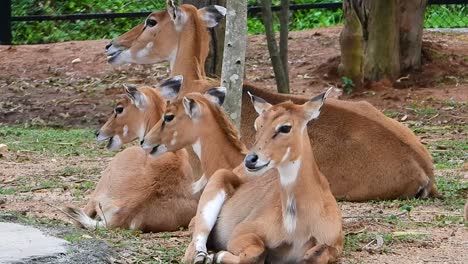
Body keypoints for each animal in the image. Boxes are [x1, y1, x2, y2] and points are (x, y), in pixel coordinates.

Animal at [141, 87, 342, 264]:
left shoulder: (335, 243)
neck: (296, 226)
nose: (251, 159)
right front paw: (218, 255)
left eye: (285, 127)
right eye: (257, 125)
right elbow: (255, 253)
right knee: (194, 250)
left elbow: (317, 253)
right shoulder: (241, 232)